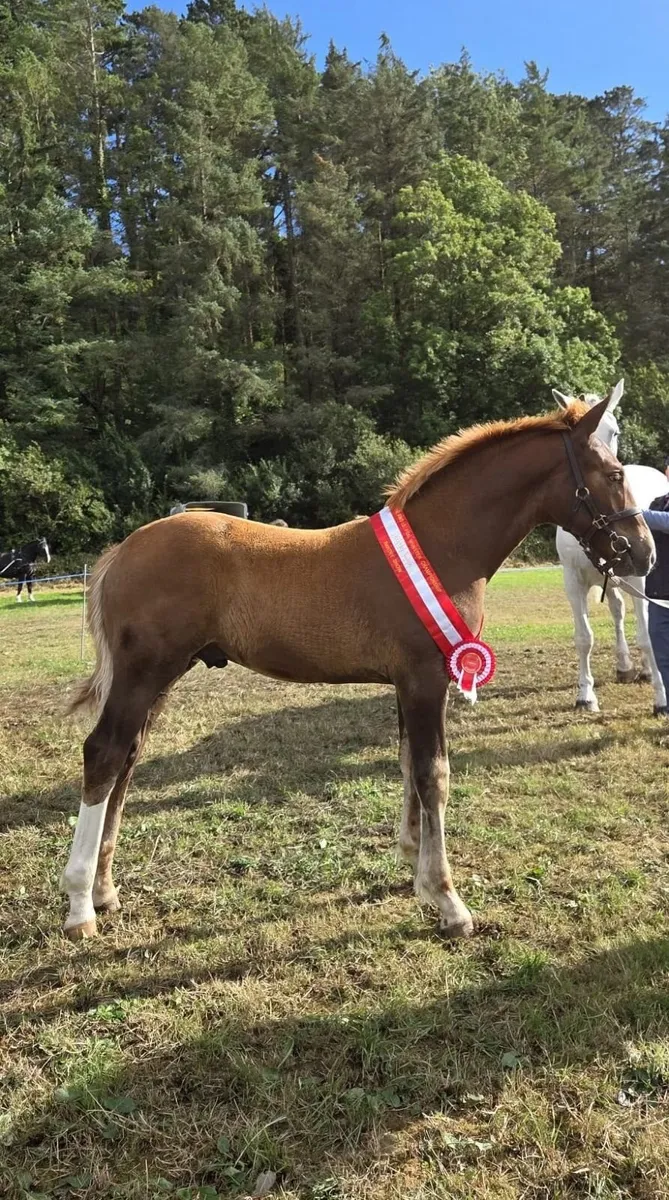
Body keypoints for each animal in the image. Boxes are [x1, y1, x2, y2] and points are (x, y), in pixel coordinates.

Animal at [61, 396, 654, 942]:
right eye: (614, 474)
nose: (642, 554)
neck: (441, 547)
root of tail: (121, 551)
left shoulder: (408, 684)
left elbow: (408, 766)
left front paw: (413, 866)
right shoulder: (426, 680)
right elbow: (433, 775)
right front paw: (448, 900)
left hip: (159, 678)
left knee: (127, 758)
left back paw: (105, 890)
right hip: (143, 674)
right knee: (104, 754)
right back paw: (80, 904)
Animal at [553, 382, 669, 712]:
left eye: (614, 430)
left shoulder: (640, 579)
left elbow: (647, 636)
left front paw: (660, 699)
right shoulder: (573, 581)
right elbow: (583, 638)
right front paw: (585, 696)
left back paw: (646, 671)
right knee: (618, 611)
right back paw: (625, 666)